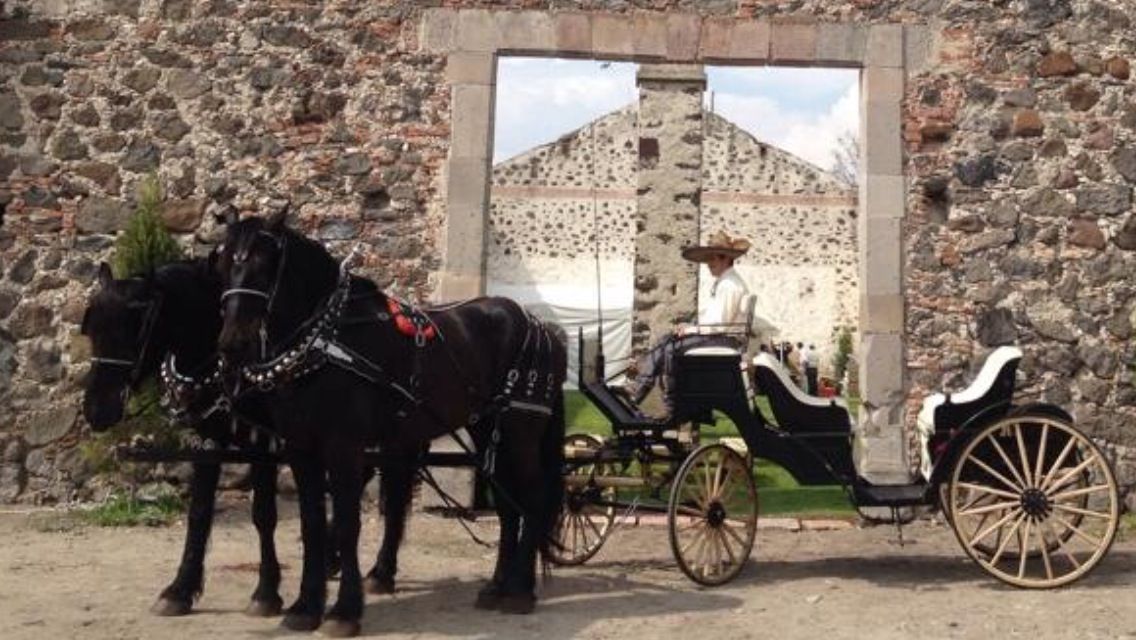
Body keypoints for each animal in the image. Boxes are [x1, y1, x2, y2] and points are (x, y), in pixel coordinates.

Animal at [81, 259, 287, 617]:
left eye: (135, 327)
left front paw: (266, 591)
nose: (96, 409)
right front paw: (180, 589)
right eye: (91, 327)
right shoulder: (209, 440)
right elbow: (199, 512)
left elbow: (264, 514)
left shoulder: (264, 443)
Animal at [213, 211, 567, 637]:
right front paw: (305, 606)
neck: (328, 342)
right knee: (507, 507)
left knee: (531, 497)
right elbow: (312, 523)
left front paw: (344, 611)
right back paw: (497, 587)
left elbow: (347, 524)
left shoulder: (345, 448)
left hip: (519, 430)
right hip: (487, 430)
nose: (233, 343)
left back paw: (520, 590)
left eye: (265, 264)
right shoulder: (301, 448)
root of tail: (541, 326)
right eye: (223, 263)